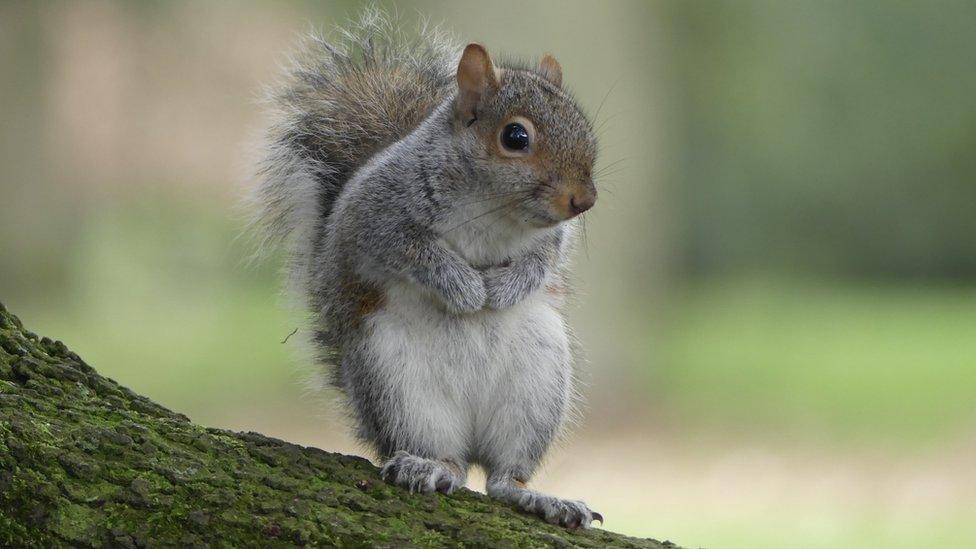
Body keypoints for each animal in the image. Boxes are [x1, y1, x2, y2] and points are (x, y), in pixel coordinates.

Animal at [250, 9, 604, 528]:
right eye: (516, 136)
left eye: (584, 128)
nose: (584, 200)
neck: (493, 209)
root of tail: (470, 440)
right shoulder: (381, 217)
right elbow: (418, 253)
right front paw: (467, 290)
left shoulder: (550, 241)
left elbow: (539, 264)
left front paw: (501, 289)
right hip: (398, 387)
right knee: (445, 457)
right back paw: (429, 468)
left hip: (538, 385)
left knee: (503, 477)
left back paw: (537, 497)